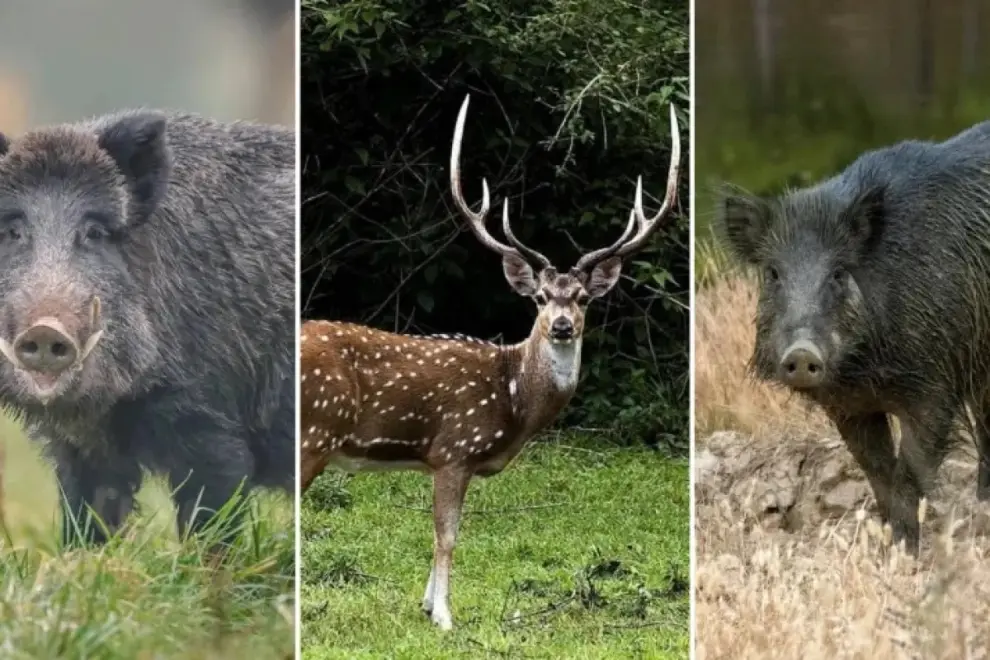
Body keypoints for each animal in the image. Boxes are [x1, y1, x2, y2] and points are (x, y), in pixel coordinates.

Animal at [299, 93, 681, 631]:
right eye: (540, 298)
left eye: (584, 299)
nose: (561, 326)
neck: (514, 397)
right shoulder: (454, 448)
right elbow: (447, 535)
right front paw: (443, 616)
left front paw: (426, 604)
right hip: (315, 432)